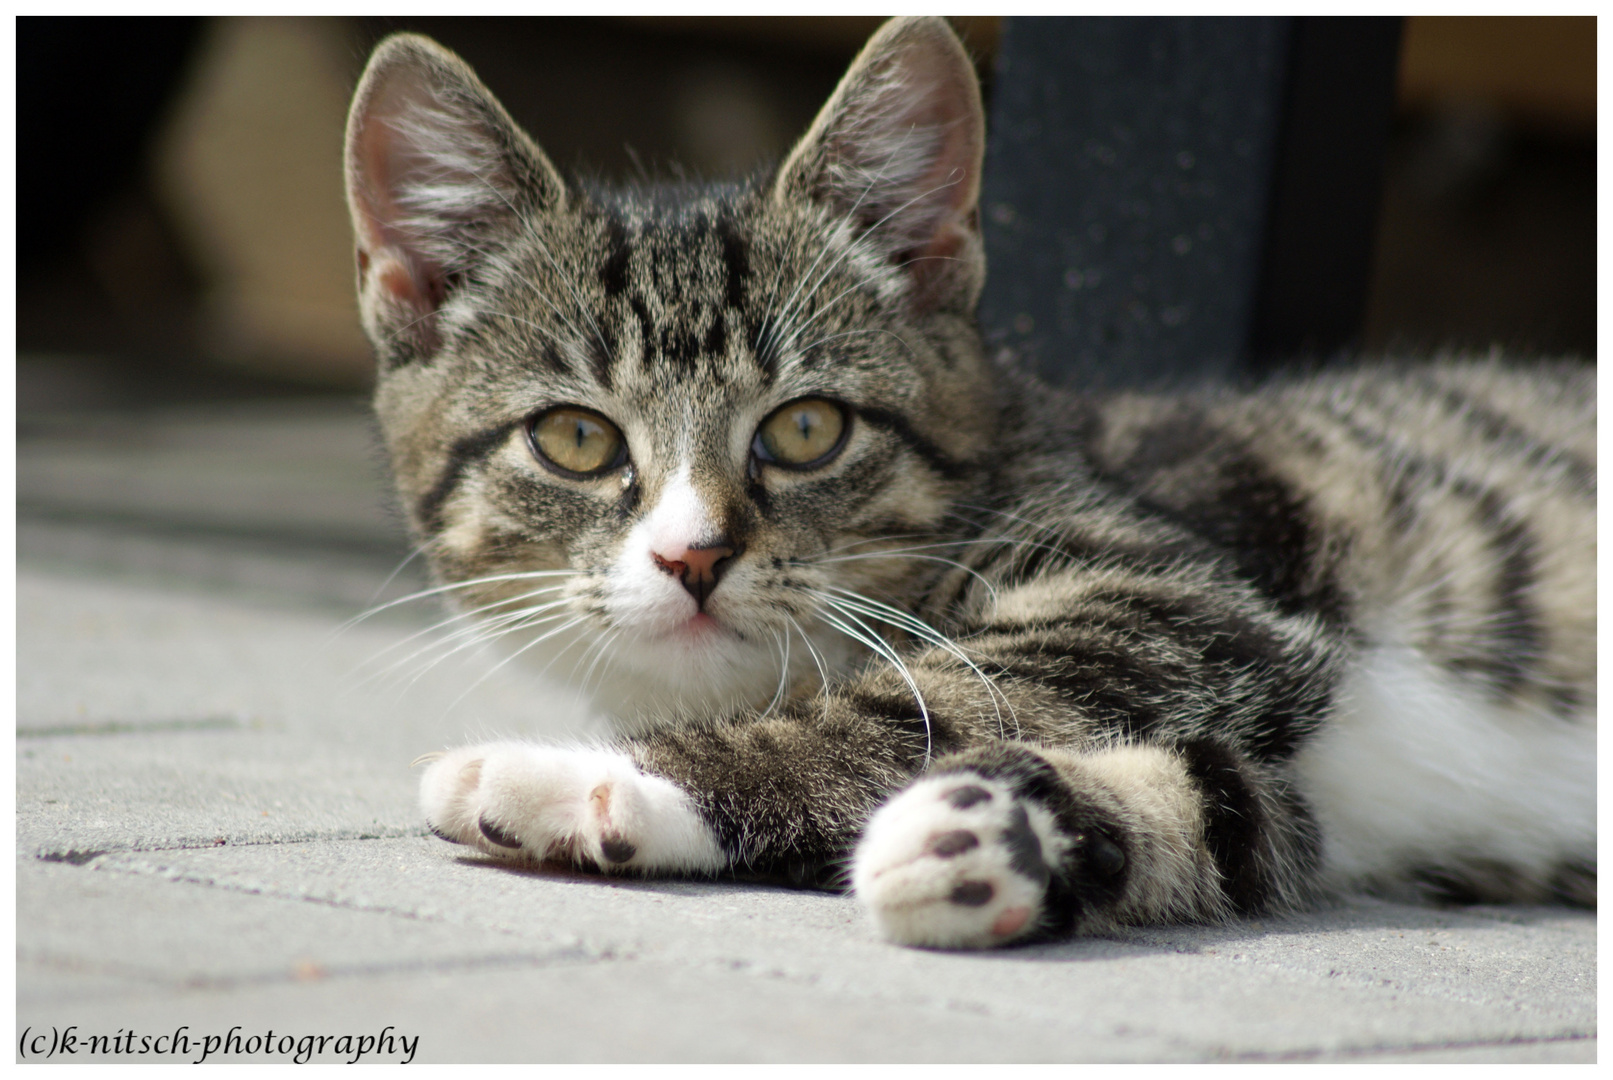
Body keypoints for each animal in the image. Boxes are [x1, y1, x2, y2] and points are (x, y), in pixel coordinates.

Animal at [346, 14, 1593, 947]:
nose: (692, 553)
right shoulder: (1307, 800)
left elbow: (932, 693)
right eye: (575, 440)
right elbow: (1233, 810)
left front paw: (582, 780)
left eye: (806, 429)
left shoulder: (1181, 586)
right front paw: (999, 837)